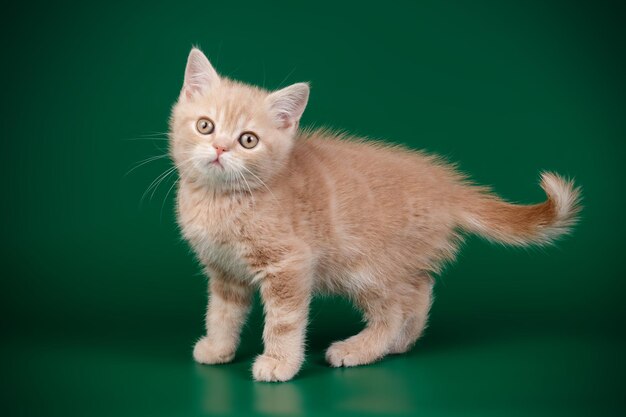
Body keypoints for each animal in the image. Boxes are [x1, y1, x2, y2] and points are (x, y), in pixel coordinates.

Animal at [169, 48, 580, 380]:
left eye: (248, 140)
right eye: (205, 126)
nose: (220, 148)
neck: (222, 199)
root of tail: (447, 188)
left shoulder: (290, 264)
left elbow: (284, 321)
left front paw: (279, 364)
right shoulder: (224, 270)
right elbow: (222, 313)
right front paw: (218, 348)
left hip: (366, 266)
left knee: (395, 308)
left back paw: (359, 349)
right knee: (420, 289)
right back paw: (399, 343)